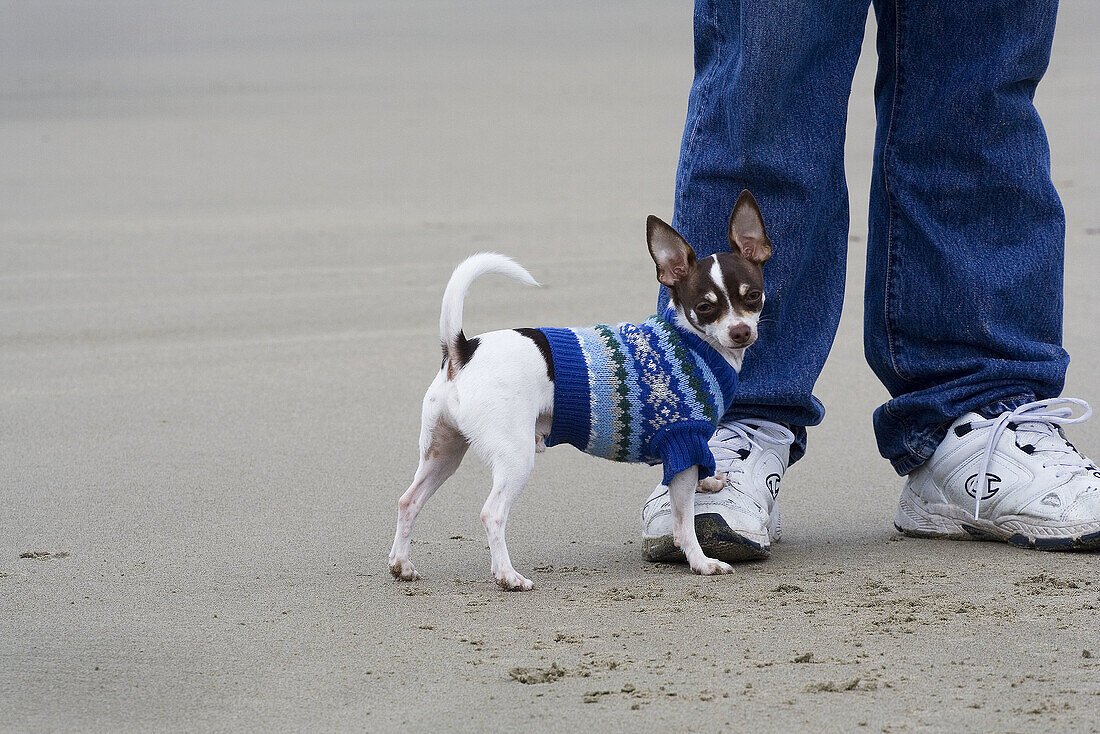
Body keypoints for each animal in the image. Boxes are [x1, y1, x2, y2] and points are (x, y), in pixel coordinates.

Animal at [387, 191, 774, 589]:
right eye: (705, 307)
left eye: (753, 297)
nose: (741, 332)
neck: (693, 342)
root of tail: (461, 349)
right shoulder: (681, 439)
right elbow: (684, 523)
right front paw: (701, 561)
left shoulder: (686, 448)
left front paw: (709, 481)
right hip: (513, 457)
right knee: (491, 513)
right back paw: (508, 575)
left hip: (442, 452)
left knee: (408, 501)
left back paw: (402, 564)